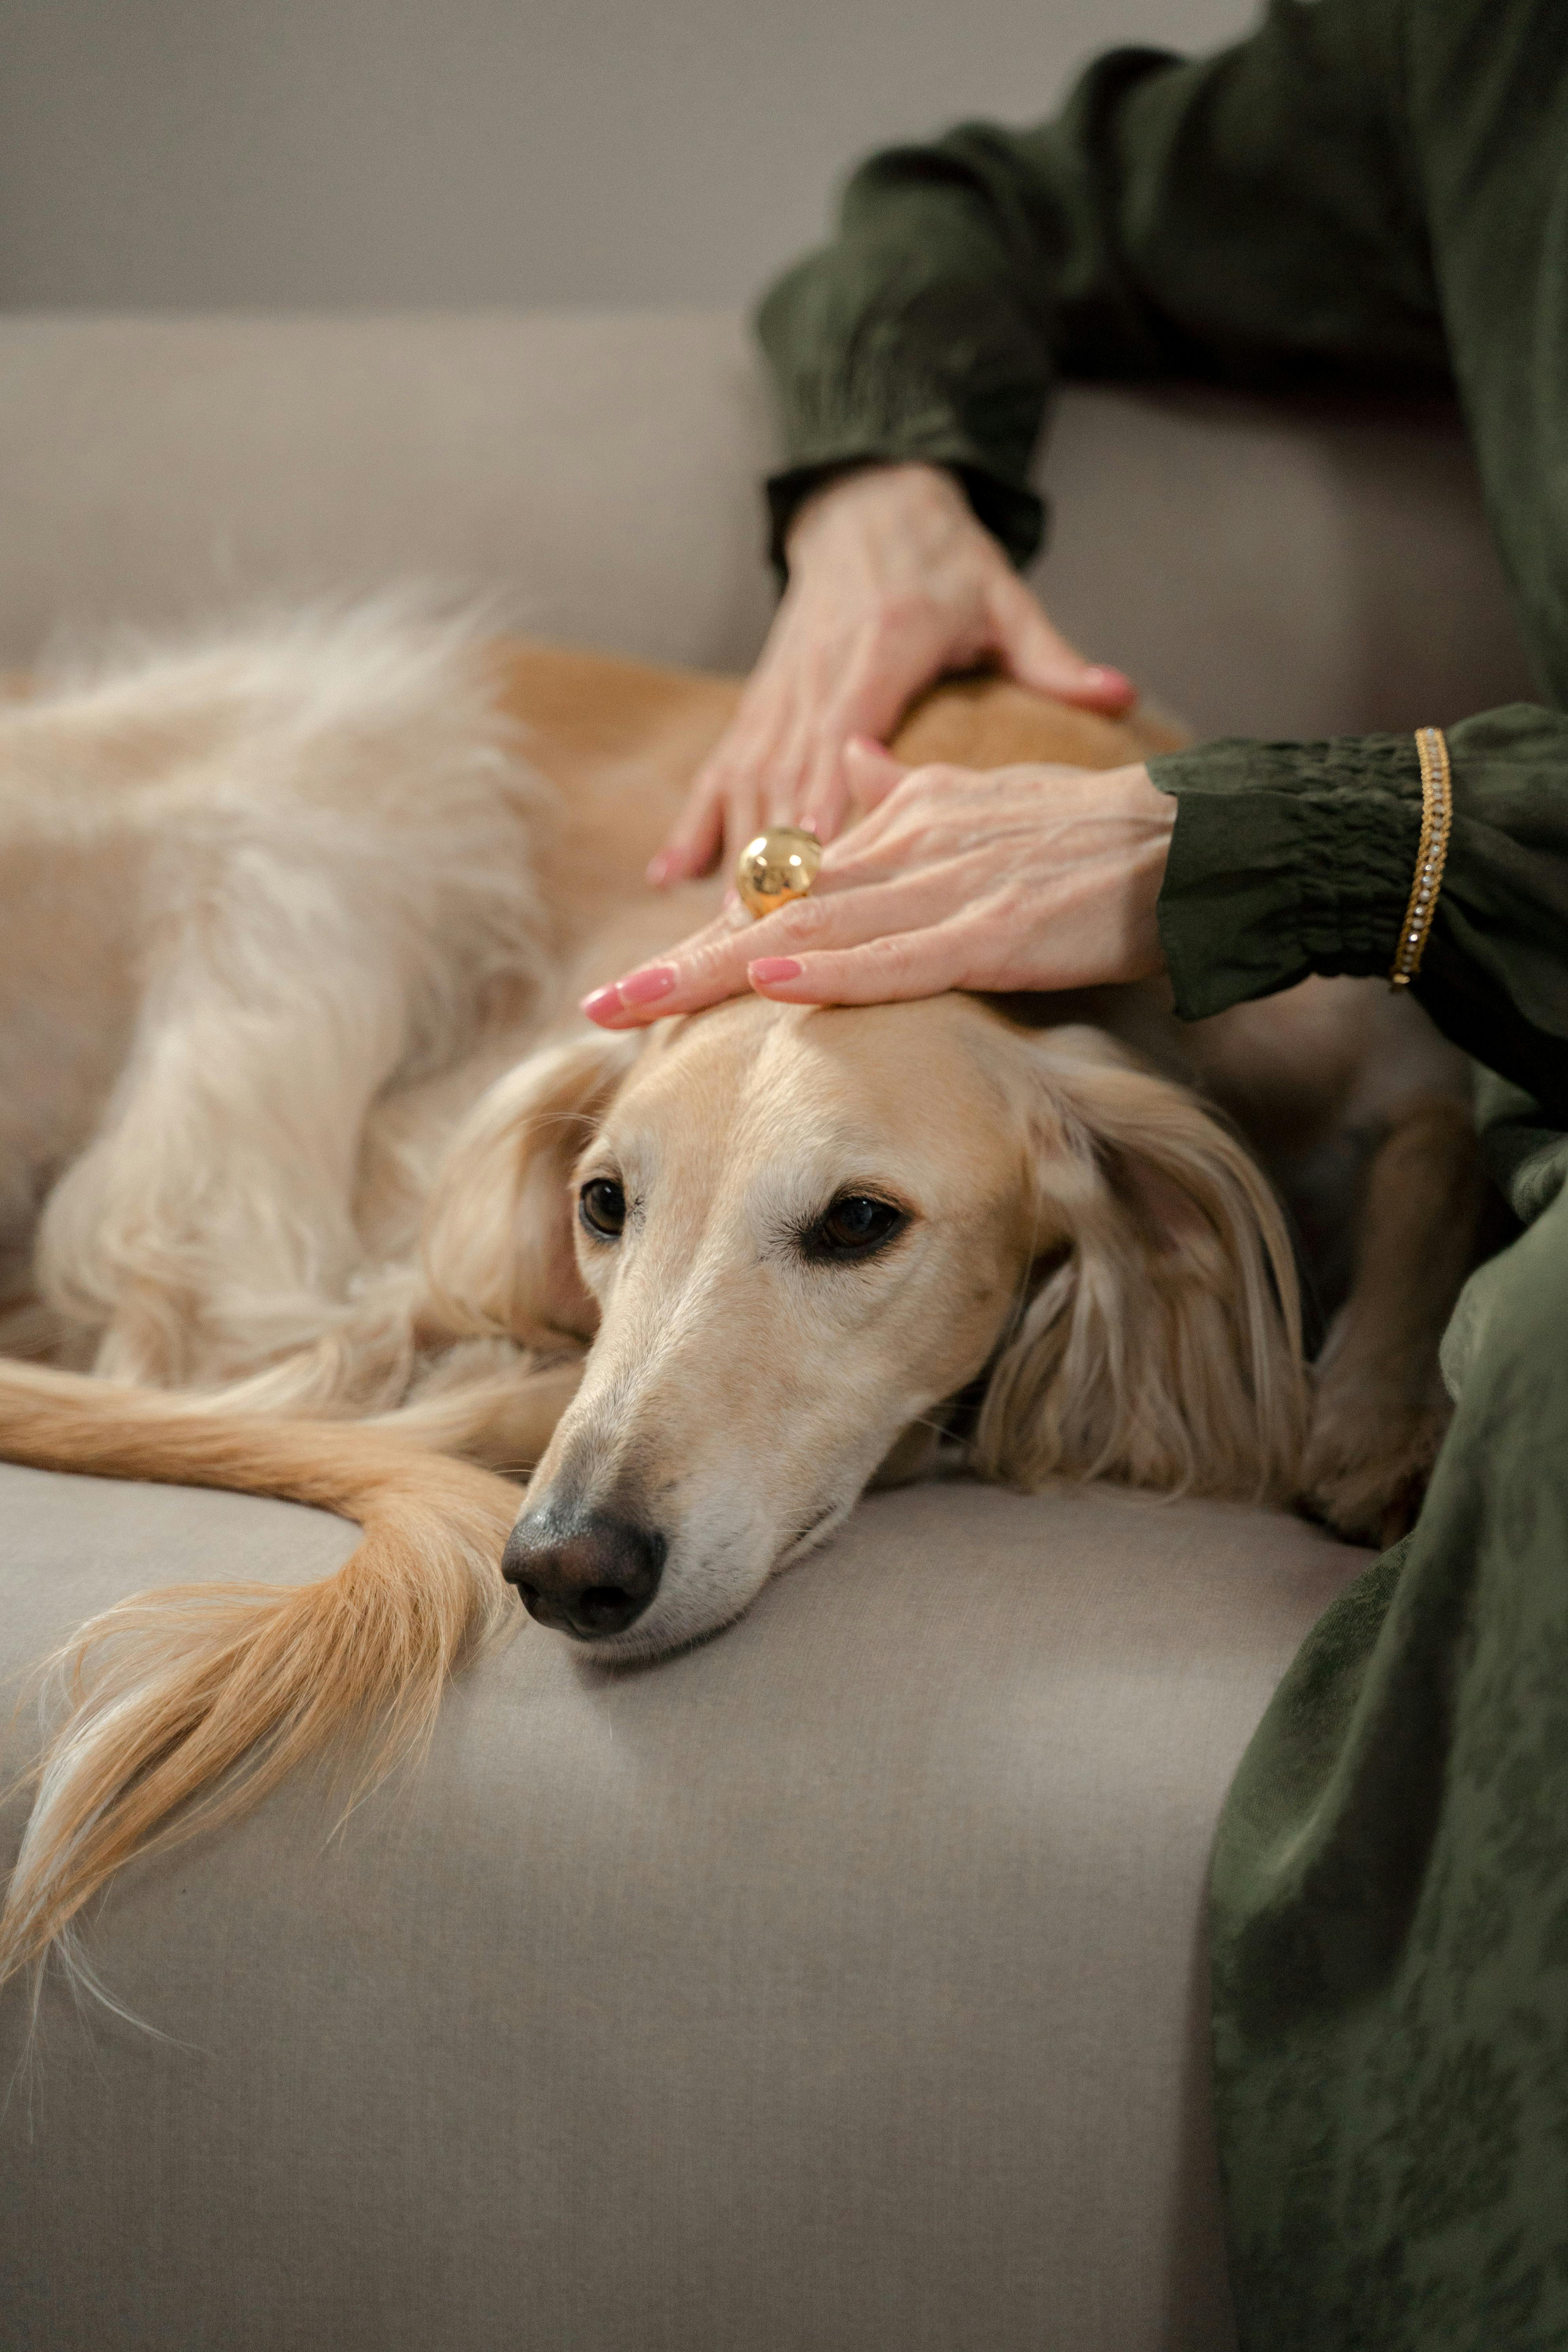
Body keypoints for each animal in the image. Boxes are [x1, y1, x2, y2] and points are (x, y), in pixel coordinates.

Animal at [0, 607, 1495, 1985]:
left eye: (858, 1222)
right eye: (603, 1203)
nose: (564, 1567)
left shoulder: (1377, 1052)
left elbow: (1444, 1141)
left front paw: (1382, 1416)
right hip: (336, 781)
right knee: (192, 1311)